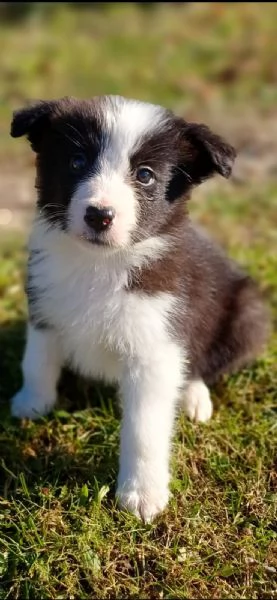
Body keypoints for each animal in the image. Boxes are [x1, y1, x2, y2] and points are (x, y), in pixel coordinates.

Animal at [10, 95, 268, 520]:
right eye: (77, 161)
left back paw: (193, 397)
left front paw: (142, 495)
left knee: (202, 366)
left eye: (145, 176)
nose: (99, 215)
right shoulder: (43, 301)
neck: (101, 264)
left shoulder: (156, 347)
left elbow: (144, 428)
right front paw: (32, 402)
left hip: (250, 316)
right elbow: (37, 359)